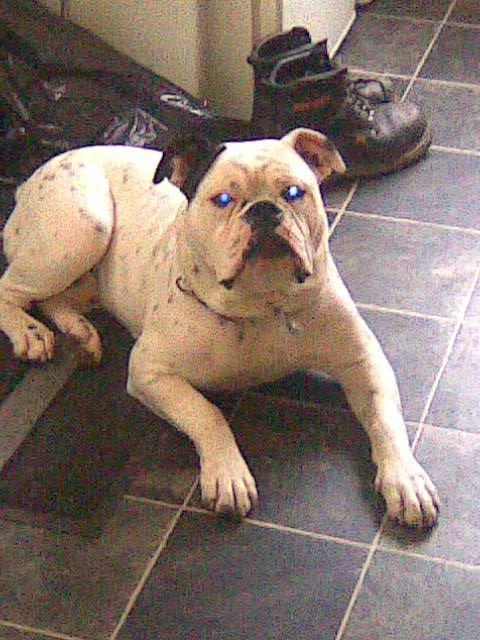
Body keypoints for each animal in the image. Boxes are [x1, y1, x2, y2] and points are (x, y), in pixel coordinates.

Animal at [0, 127, 439, 527]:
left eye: (293, 193)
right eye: (223, 200)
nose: (263, 210)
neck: (261, 301)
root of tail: (29, 180)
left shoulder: (362, 362)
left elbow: (384, 418)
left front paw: (405, 480)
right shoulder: (150, 373)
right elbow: (207, 413)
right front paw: (227, 474)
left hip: (89, 276)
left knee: (53, 298)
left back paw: (80, 333)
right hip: (85, 226)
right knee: (11, 288)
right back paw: (29, 333)